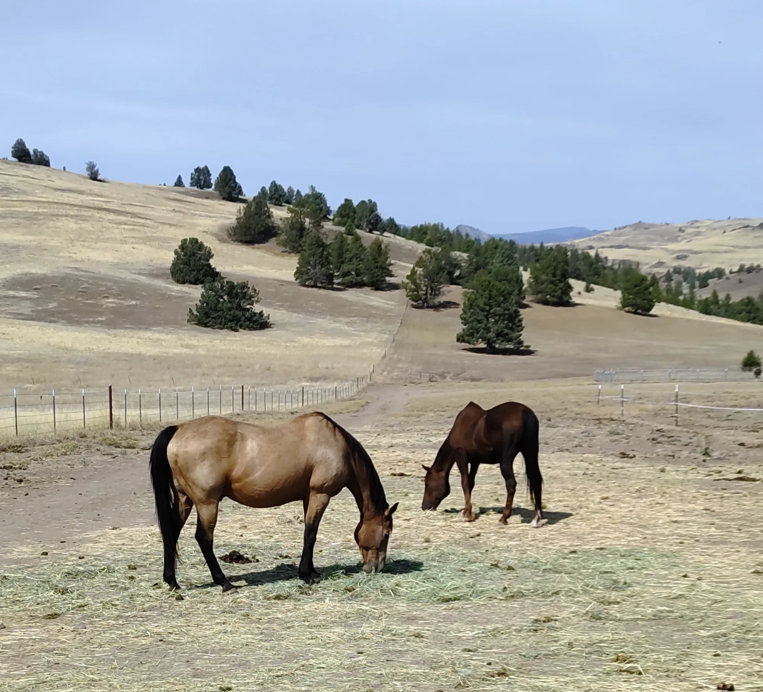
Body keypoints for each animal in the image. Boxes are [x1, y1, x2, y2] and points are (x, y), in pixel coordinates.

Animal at [149, 412, 398, 592]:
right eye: (386, 533)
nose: (376, 568)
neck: (336, 445)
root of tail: (178, 429)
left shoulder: (308, 497)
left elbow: (310, 534)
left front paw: (313, 572)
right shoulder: (320, 494)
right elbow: (311, 534)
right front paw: (306, 575)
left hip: (185, 500)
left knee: (172, 532)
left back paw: (172, 581)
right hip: (207, 504)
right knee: (203, 538)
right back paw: (225, 583)